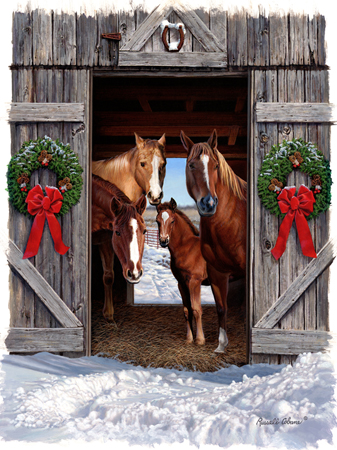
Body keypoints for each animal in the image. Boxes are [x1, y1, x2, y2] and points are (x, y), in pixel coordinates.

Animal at [91, 175, 146, 320]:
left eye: (144, 231)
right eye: (117, 232)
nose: (135, 273)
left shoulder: (105, 241)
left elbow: (108, 276)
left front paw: (108, 313)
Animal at [156, 199, 209, 346]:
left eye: (172, 221)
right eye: (157, 221)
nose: (163, 241)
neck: (187, 248)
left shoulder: (195, 282)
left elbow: (196, 309)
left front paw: (200, 340)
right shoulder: (181, 283)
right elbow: (187, 310)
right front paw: (189, 338)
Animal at [180, 128, 245, 354]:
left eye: (215, 166)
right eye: (192, 165)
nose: (208, 204)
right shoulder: (217, 272)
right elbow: (221, 308)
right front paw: (221, 345)